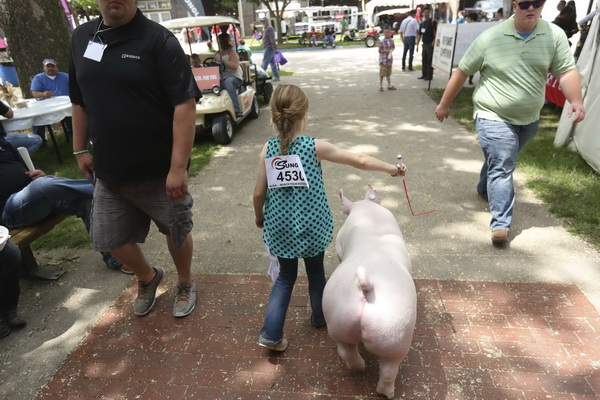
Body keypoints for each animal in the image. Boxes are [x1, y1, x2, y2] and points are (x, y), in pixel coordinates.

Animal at [324, 186, 418, 398]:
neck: (368, 210)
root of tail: (366, 285)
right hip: (396, 330)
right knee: (389, 368)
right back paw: (384, 390)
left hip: (340, 316)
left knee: (348, 351)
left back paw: (363, 371)